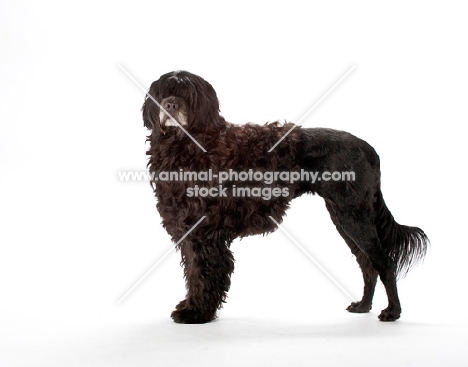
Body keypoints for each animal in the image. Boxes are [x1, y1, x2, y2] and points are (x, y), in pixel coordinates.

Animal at [141, 70, 430, 324]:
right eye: (163, 91)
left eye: (187, 93)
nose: (170, 104)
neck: (189, 145)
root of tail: (368, 147)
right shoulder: (191, 231)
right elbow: (193, 271)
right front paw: (193, 308)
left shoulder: (204, 233)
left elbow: (202, 274)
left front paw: (195, 313)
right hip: (344, 217)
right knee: (367, 264)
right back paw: (363, 305)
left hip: (355, 216)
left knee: (385, 263)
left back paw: (392, 312)